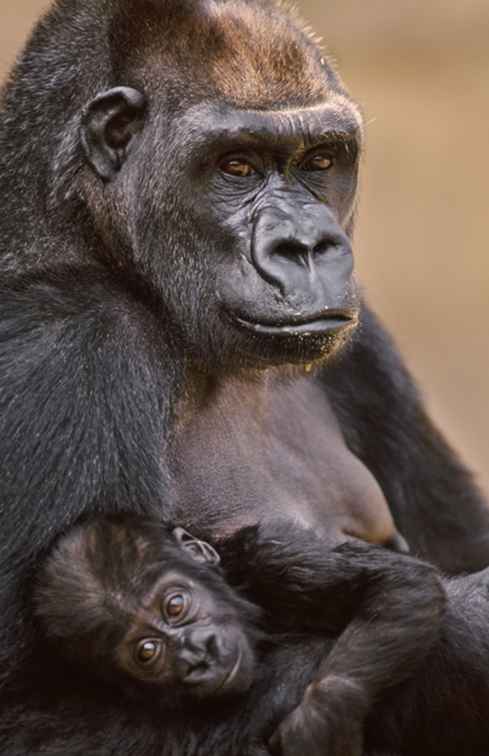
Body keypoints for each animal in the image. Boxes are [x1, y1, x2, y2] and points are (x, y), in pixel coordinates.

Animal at [34, 512, 442, 756]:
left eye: (175, 605)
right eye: (147, 652)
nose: (198, 656)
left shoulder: (273, 554)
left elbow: (398, 585)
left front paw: (320, 720)